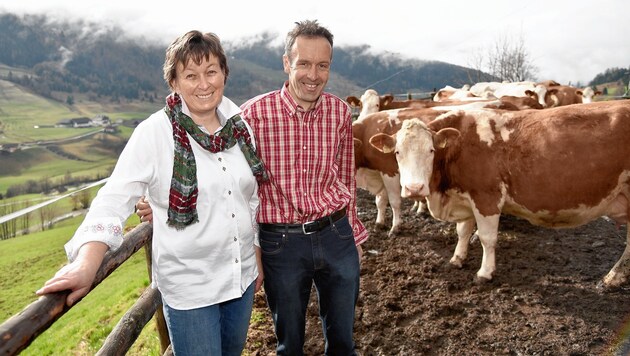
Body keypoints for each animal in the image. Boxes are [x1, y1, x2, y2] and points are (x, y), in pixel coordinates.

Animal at [370, 101, 630, 290]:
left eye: (431, 150)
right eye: (397, 152)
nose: (414, 188)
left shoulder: (487, 196)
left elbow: (487, 238)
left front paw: (485, 273)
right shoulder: (466, 196)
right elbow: (463, 231)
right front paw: (457, 258)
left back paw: (612, 277)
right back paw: (615, 278)